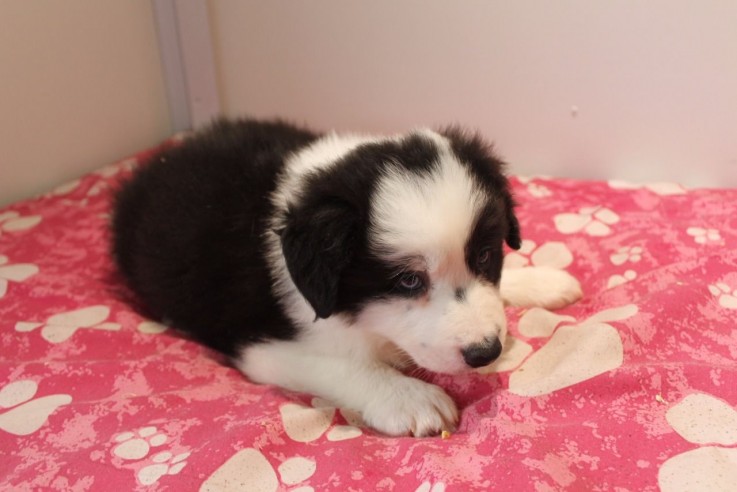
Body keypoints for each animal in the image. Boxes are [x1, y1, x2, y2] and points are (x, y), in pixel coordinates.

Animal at [112, 118, 580, 434]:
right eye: (407, 280)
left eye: (484, 255)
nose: (486, 351)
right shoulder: (260, 345)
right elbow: (343, 366)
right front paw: (410, 398)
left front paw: (537, 279)